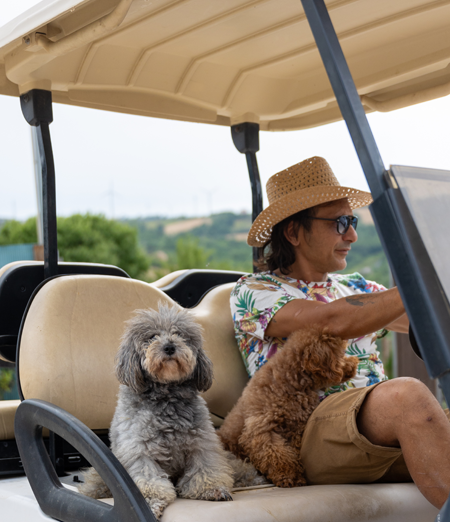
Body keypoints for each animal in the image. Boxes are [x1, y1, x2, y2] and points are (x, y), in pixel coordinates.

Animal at [79, 300, 266, 516]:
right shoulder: (139, 450)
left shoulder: (202, 444)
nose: (169, 347)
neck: (166, 396)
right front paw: (151, 501)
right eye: (152, 336)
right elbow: (148, 480)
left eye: (179, 334)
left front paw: (211, 489)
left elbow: (205, 469)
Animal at [218, 328, 358, 486]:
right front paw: (289, 476)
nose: (355, 363)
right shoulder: (262, 429)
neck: (291, 379)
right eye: (341, 354)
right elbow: (277, 455)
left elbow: (291, 451)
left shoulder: (296, 426)